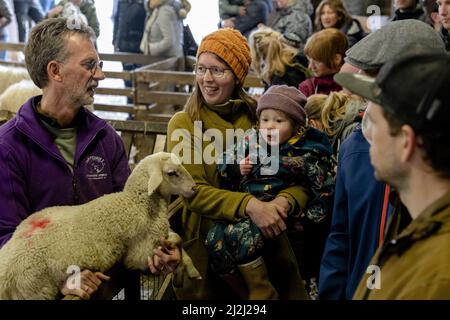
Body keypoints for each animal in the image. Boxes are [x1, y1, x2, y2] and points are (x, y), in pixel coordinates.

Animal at [0, 151, 199, 298]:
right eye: (172, 173)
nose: (194, 189)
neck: (135, 201)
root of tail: (4, 273)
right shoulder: (140, 252)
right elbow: (172, 241)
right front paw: (180, 273)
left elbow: (178, 240)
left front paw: (190, 271)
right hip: (34, 289)